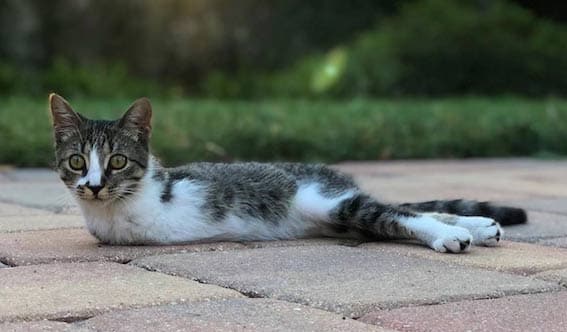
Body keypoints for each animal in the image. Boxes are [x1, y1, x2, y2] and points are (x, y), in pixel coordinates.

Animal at [50, 92, 528, 253]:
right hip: (337, 217)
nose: (94, 186)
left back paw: (456, 234)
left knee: (397, 213)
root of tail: (335, 177)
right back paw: (481, 226)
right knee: (396, 214)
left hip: (327, 202)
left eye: (117, 161)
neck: (114, 209)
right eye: (77, 161)